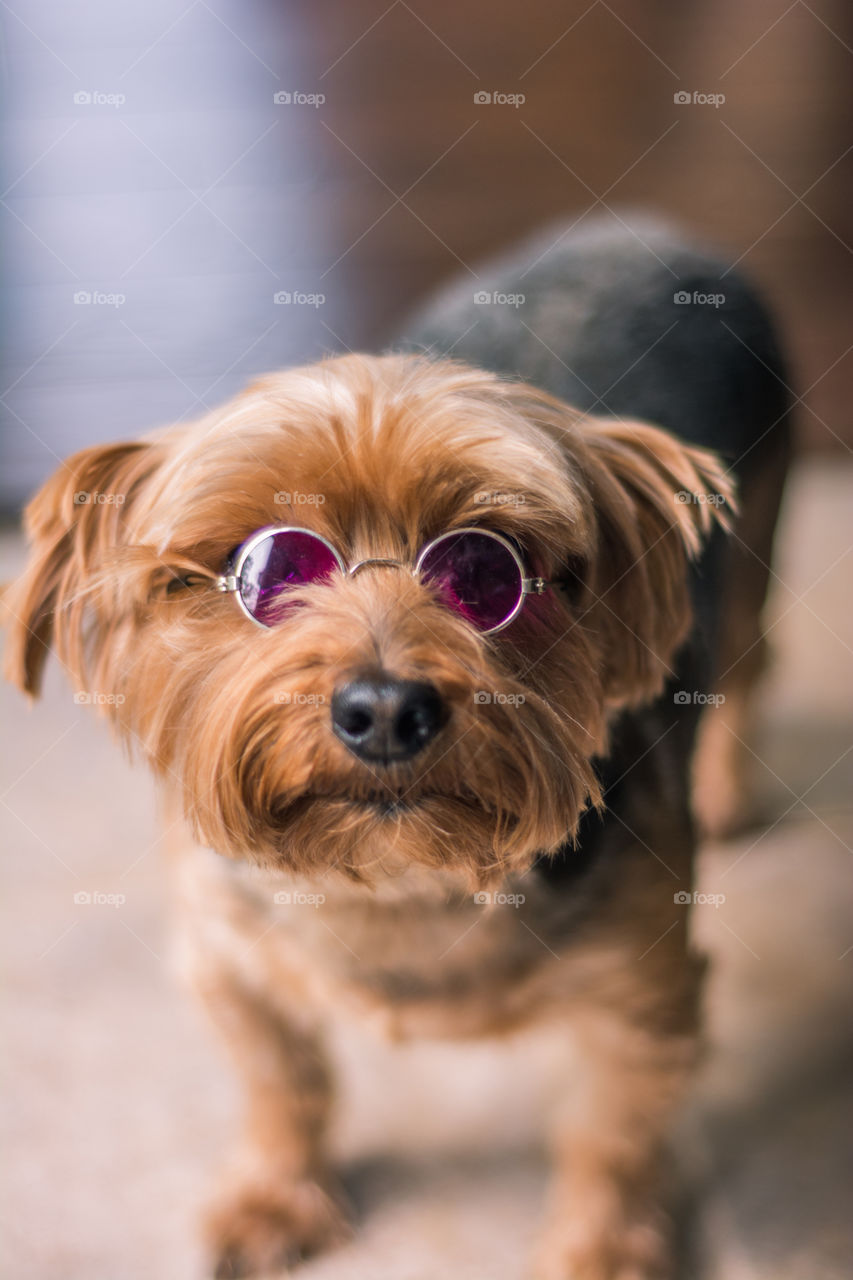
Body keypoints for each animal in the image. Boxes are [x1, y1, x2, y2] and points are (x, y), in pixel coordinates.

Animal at [4, 215, 788, 1274]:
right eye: (266, 568)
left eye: (486, 569)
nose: (383, 709)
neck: (399, 880)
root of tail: (647, 231)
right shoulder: (226, 954)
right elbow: (280, 1083)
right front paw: (275, 1195)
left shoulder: (643, 989)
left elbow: (611, 1135)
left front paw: (602, 1250)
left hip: (757, 533)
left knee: (747, 659)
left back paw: (726, 788)